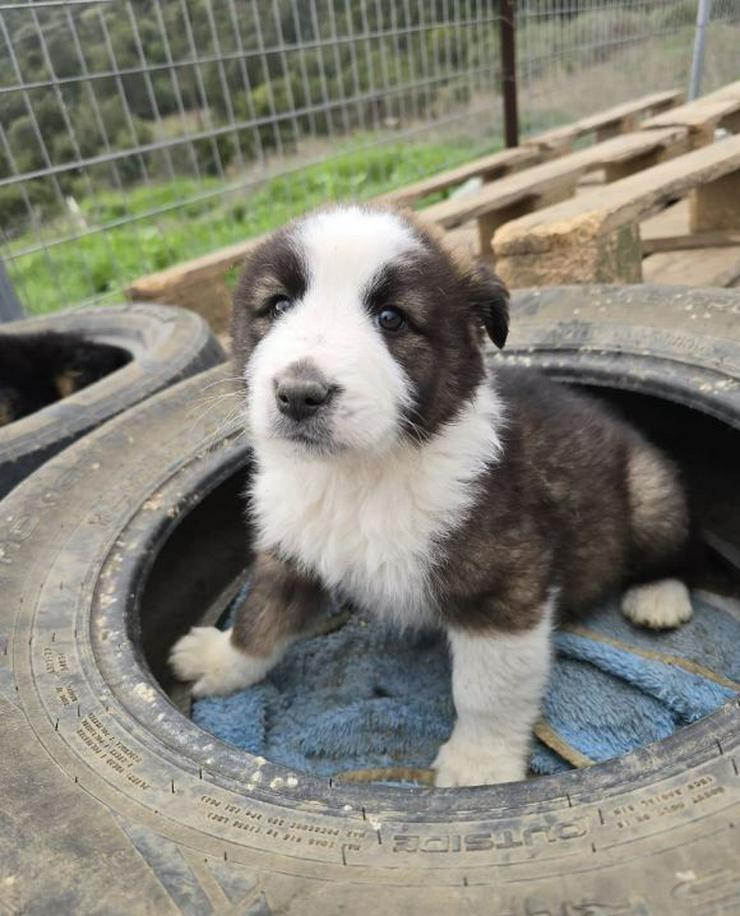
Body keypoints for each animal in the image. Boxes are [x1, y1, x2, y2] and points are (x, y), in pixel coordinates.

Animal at [171, 206, 692, 788]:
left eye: (392, 319)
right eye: (278, 306)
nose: (299, 395)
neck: (359, 474)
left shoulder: (502, 589)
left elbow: (486, 691)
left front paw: (479, 764)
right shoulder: (292, 551)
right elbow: (260, 616)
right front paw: (222, 660)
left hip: (648, 489)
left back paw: (658, 597)